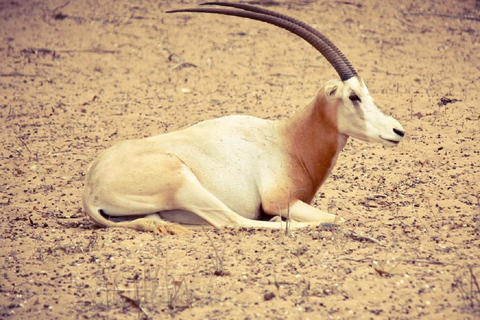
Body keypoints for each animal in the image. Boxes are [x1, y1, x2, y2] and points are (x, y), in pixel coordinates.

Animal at [82, 1, 404, 235]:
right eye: (354, 96)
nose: (397, 130)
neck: (287, 139)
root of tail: (91, 187)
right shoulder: (280, 200)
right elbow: (337, 216)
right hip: (183, 184)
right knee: (230, 220)